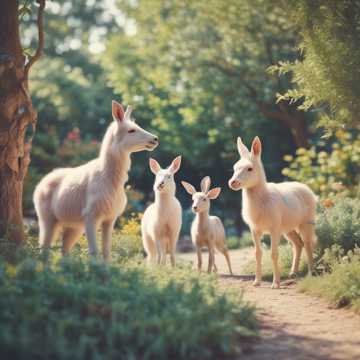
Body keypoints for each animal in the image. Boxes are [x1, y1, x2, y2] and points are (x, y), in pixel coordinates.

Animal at [229, 136, 316, 288]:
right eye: (234, 167)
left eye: (250, 168)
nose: (232, 182)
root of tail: (308, 189)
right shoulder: (254, 229)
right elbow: (257, 253)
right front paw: (256, 282)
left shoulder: (274, 227)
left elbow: (274, 253)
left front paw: (275, 284)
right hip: (287, 227)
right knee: (298, 244)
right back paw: (293, 273)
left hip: (306, 221)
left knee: (307, 243)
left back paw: (311, 272)